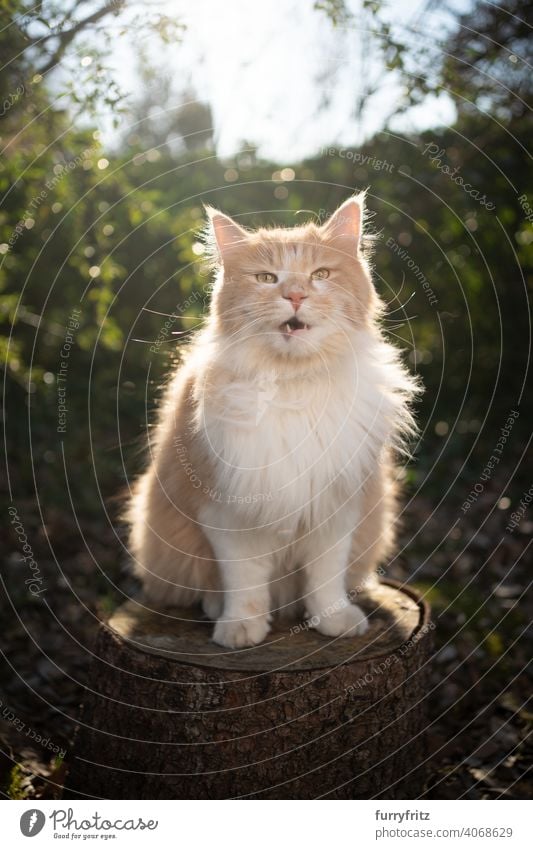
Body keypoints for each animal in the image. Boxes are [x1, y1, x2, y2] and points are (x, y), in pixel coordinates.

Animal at [127, 195, 418, 648]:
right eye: (266, 278)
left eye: (320, 275)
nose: (295, 295)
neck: (291, 385)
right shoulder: (227, 511)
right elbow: (244, 581)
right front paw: (241, 628)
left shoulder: (336, 504)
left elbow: (325, 579)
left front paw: (334, 621)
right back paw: (216, 608)